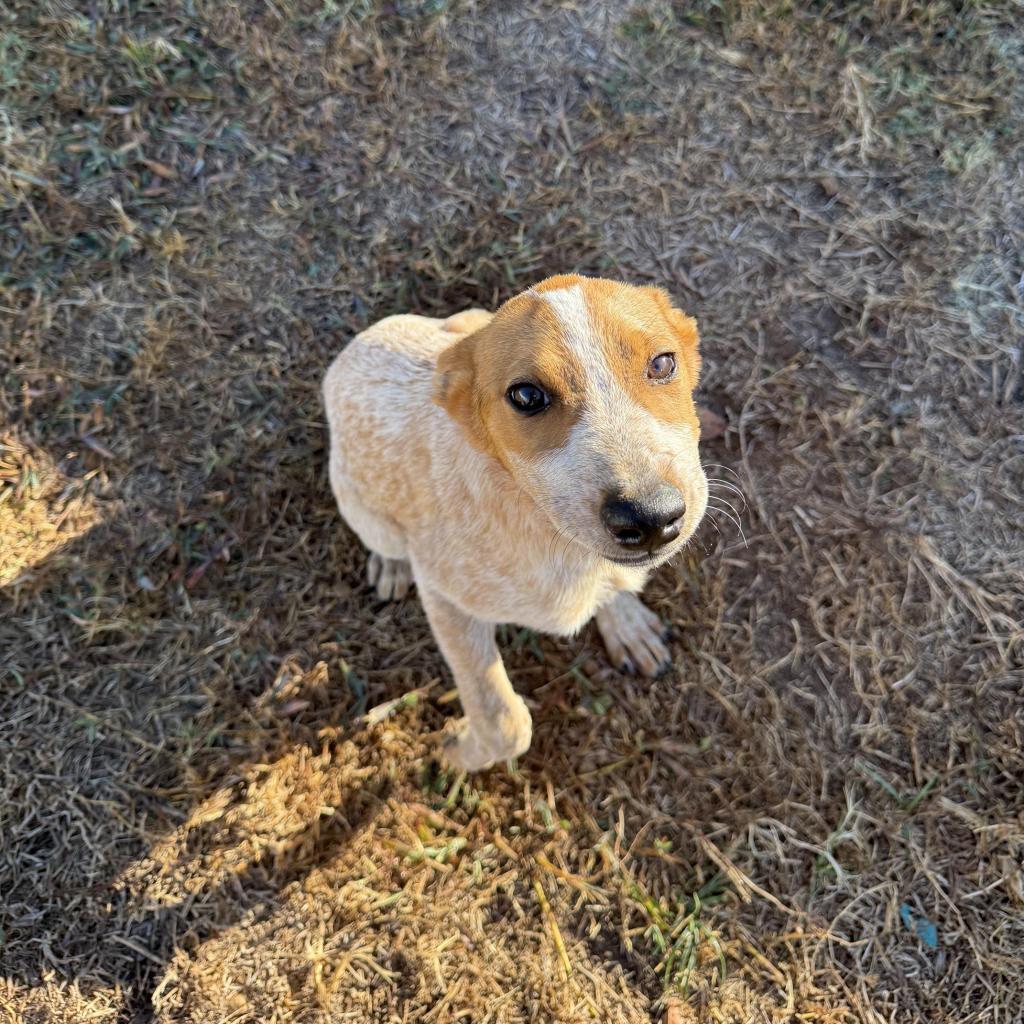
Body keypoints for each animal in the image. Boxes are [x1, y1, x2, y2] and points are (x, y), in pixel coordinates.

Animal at [323, 272, 708, 770]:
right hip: (364, 509)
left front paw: (625, 619)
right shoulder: (444, 596)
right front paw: (457, 749)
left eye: (662, 363)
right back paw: (390, 565)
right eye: (526, 396)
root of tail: (352, 349)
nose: (651, 516)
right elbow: (505, 720)